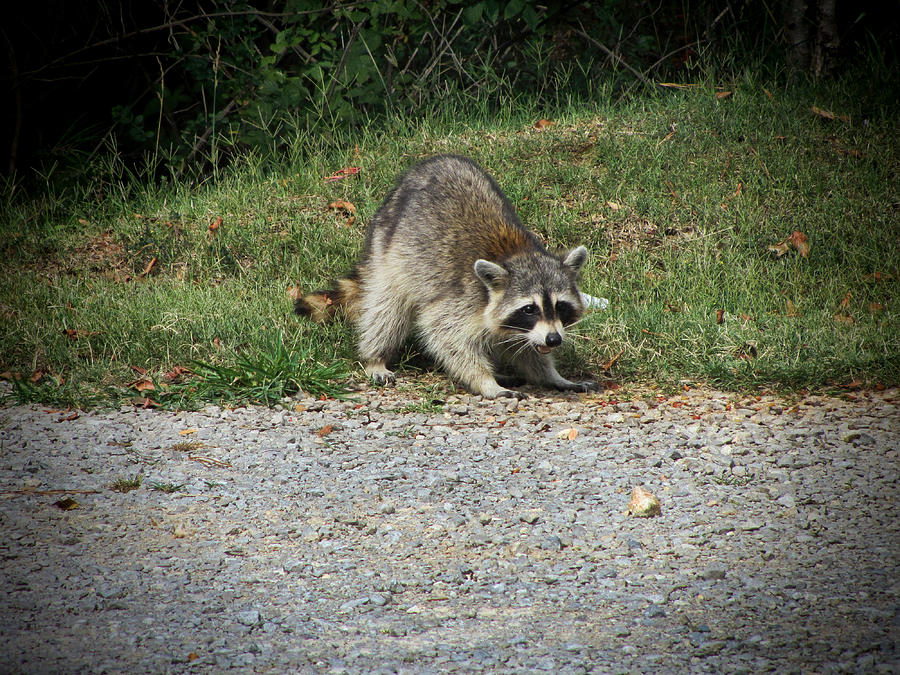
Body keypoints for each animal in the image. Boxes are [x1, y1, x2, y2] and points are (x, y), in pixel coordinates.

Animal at [298, 156, 596, 398]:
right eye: (529, 309)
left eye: (560, 306)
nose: (554, 340)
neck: (518, 255)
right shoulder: (460, 299)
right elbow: (447, 336)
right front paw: (485, 381)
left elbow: (527, 349)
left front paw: (552, 376)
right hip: (390, 253)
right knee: (388, 311)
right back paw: (376, 356)